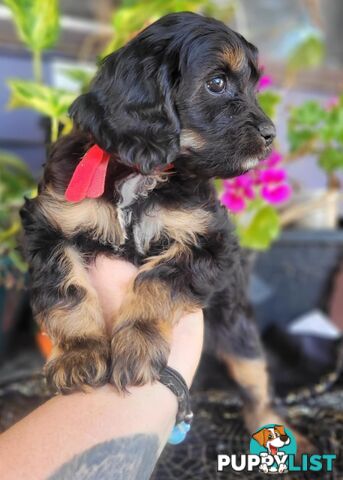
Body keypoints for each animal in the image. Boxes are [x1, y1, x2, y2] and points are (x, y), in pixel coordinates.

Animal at [21, 11, 306, 438]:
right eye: (216, 83)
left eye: (256, 85)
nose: (270, 136)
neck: (143, 173)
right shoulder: (50, 225)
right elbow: (66, 288)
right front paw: (79, 354)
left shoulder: (209, 241)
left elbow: (157, 280)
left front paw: (136, 346)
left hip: (238, 331)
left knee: (255, 380)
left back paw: (277, 429)